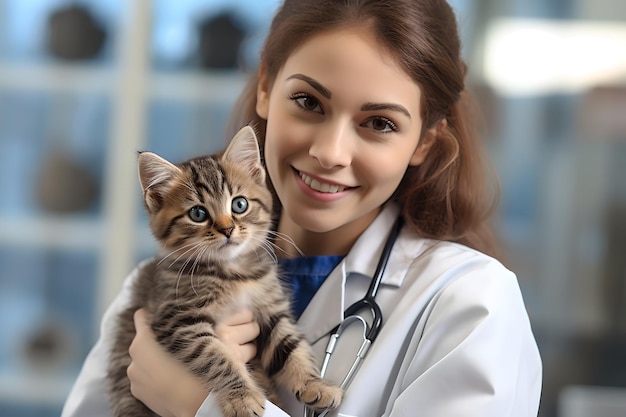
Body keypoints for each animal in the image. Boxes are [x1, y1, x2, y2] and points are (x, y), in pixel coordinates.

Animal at [107, 127, 342, 416]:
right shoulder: (178, 320)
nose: (227, 229)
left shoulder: (272, 311)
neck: (233, 274)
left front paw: (314, 384)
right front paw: (242, 397)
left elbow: (291, 348)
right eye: (197, 213)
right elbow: (218, 357)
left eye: (239, 205)